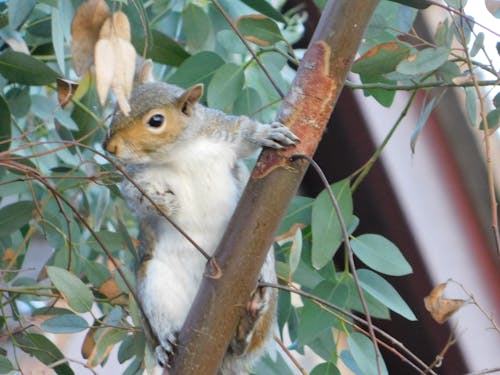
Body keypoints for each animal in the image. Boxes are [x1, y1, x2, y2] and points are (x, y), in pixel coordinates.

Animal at [101, 78, 296, 374]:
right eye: (115, 109)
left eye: (156, 120)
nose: (109, 147)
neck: (179, 153)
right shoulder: (138, 178)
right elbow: (136, 198)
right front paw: (165, 205)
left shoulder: (221, 131)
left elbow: (243, 130)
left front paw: (266, 134)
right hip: (153, 285)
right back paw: (165, 342)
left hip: (266, 280)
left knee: (242, 345)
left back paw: (247, 319)